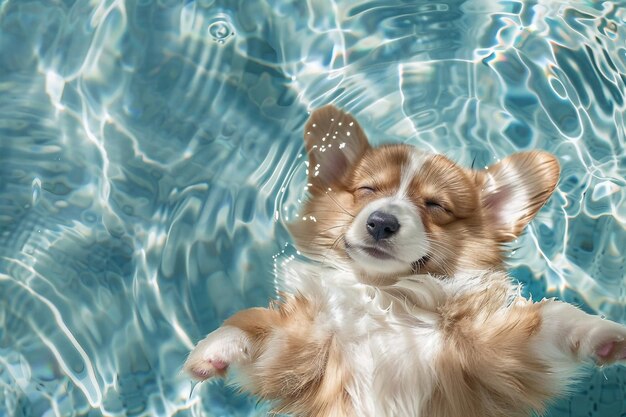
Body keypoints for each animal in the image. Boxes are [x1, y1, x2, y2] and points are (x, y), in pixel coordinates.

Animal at [184, 106, 624, 416]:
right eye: (366, 190)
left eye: (435, 206)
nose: (381, 222)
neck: (388, 298)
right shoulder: (303, 354)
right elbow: (255, 327)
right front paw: (213, 350)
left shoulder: (498, 359)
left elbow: (553, 317)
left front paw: (603, 333)